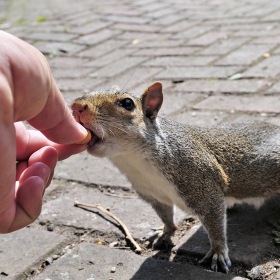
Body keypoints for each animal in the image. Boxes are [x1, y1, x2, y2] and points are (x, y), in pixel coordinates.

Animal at [70, 81, 280, 274]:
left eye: (127, 103)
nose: (76, 107)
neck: (135, 161)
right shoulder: (153, 194)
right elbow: (166, 216)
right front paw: (164, 232)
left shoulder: (201, 182)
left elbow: (214, 220)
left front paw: (218, 252)